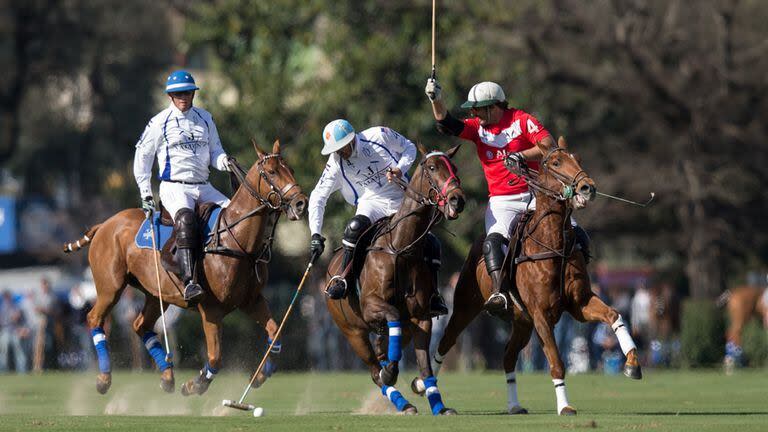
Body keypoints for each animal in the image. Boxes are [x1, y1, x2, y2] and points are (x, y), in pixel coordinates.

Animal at [61, 141, 306, 394]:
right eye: (272, 172)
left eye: (291, 170)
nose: (300, 203)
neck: (236, 241)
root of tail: (103, 225)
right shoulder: (211, 309)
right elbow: (215, 356)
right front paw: (195, 384)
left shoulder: (251, 300)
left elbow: (275, 332)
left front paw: (259, 376)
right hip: (110, 286)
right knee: (94, 318)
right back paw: (104, 378)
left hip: (156, 294)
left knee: (140, 325)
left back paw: (167, 376)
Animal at [324, 146, 462, 416]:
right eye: (432, 168)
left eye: (454, 167)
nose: (457, 200)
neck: (401, 248)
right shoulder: (371, 307)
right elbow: (393, 315)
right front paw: (391, 372)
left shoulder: (421, 317)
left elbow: (425, 366)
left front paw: (439, 406)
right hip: (352, 332)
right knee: (374, 371)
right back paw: (399, 398)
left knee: (383, 352)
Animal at [426, 138, 640, 416]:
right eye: (556, 162)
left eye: (578, 159)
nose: (588, 187)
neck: (553, 243)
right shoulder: (541, 314)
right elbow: (556, 361)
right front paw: (565, 406)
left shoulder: (579, 304)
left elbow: (614, 315)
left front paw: (633, 364)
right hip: (465, 306)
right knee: (445, 342)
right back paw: (425, 385)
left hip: (522, 322)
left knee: (507, 356)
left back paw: (514, 405)